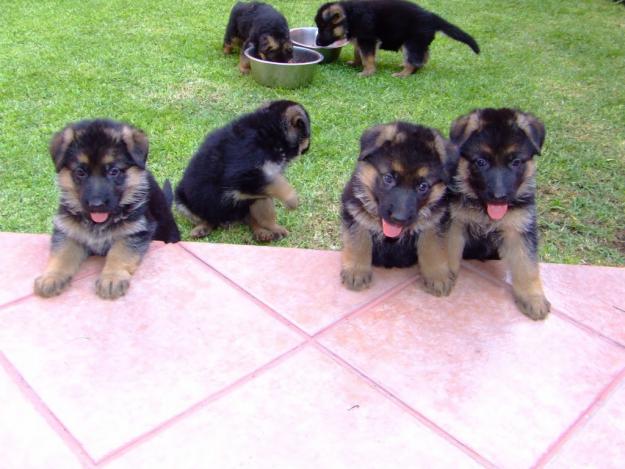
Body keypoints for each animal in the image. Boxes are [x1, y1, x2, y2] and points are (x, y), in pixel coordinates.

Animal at [33, 119, 179, 298]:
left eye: (114, 171)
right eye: (80, 172)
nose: (96, 205)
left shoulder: (135, 231)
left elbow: (119, 253)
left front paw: (111, 278)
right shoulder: (69, 231)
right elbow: (62, 255)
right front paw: (51, 277)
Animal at [174, 99, 310, 241]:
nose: (307, 148)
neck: (270, 129)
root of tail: (227, 220)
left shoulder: (260, 183)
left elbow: (267, 202)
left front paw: (272, 226)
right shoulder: (243, 174)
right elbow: (277, 185)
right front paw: (292, 199)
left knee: (252, 218)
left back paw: (263, 232)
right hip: (182, 201)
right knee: (207, 219)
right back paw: (203, 228)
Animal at [314, 0, 480, 77]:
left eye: (324, 28)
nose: (317, 43)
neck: (349, 16)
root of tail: (432, 18)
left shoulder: (367, 39)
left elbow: (368, 57)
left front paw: (367, 72)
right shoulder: (361, 40)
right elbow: (358, 53)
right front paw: (356, 63)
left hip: (411, 43)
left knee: (415, 59)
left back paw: (404, 73)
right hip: (416, 43)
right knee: (423, 56)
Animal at [338, 122, 456, 294]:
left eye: (423, 186)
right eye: (388, 178)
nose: (399, 219)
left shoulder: (436, 219)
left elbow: (433, 247)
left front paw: (437, 276)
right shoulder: (354, 211)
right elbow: (358, 240)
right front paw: (356, 272)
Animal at [446, 108, 548, 320]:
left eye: (516, 162)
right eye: (481, 162)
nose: (499, 197)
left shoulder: (520, 230)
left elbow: (527, 267)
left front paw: (533, 298)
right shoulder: (454, 223)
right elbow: (449, 251)